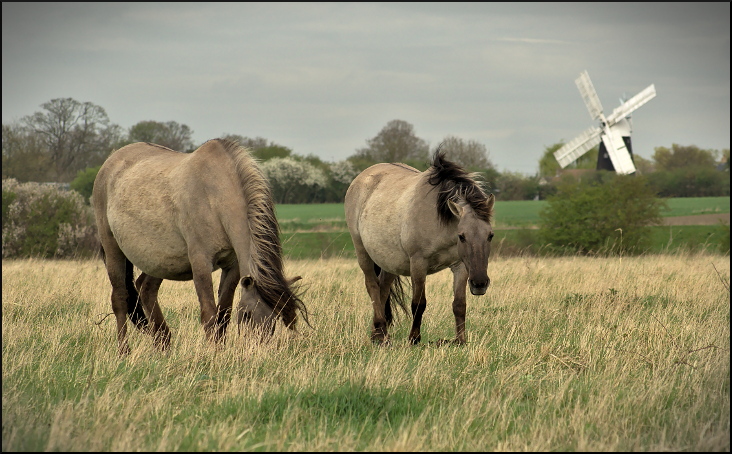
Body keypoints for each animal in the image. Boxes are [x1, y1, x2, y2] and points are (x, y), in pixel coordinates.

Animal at [92, 138, 308, 354]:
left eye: (275, 318)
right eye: (247, 314)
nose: (255, 350)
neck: (214, 196)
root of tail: (110, 162)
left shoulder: (232, 267)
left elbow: (223, 313)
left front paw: (220, 349)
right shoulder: (201, 263)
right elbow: (209, 313)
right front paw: (213, 353)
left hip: (160, 260)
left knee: (145, 288)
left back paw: (163, 343)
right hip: (113, 249)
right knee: (120, 298)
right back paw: (124, 350)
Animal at [344, 149, 494, 344]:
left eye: (490, 235)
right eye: (462, 236)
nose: (480, 284)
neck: (440, 219)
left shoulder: (460, 266)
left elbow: (459, 304)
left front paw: (460, 340)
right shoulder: (418, 264)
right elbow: (418, 304)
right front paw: (414, 338)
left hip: (390, 262)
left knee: (383, 290)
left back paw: (378, 334)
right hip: (362, 252)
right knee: (373, 287)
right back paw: (381, 333)